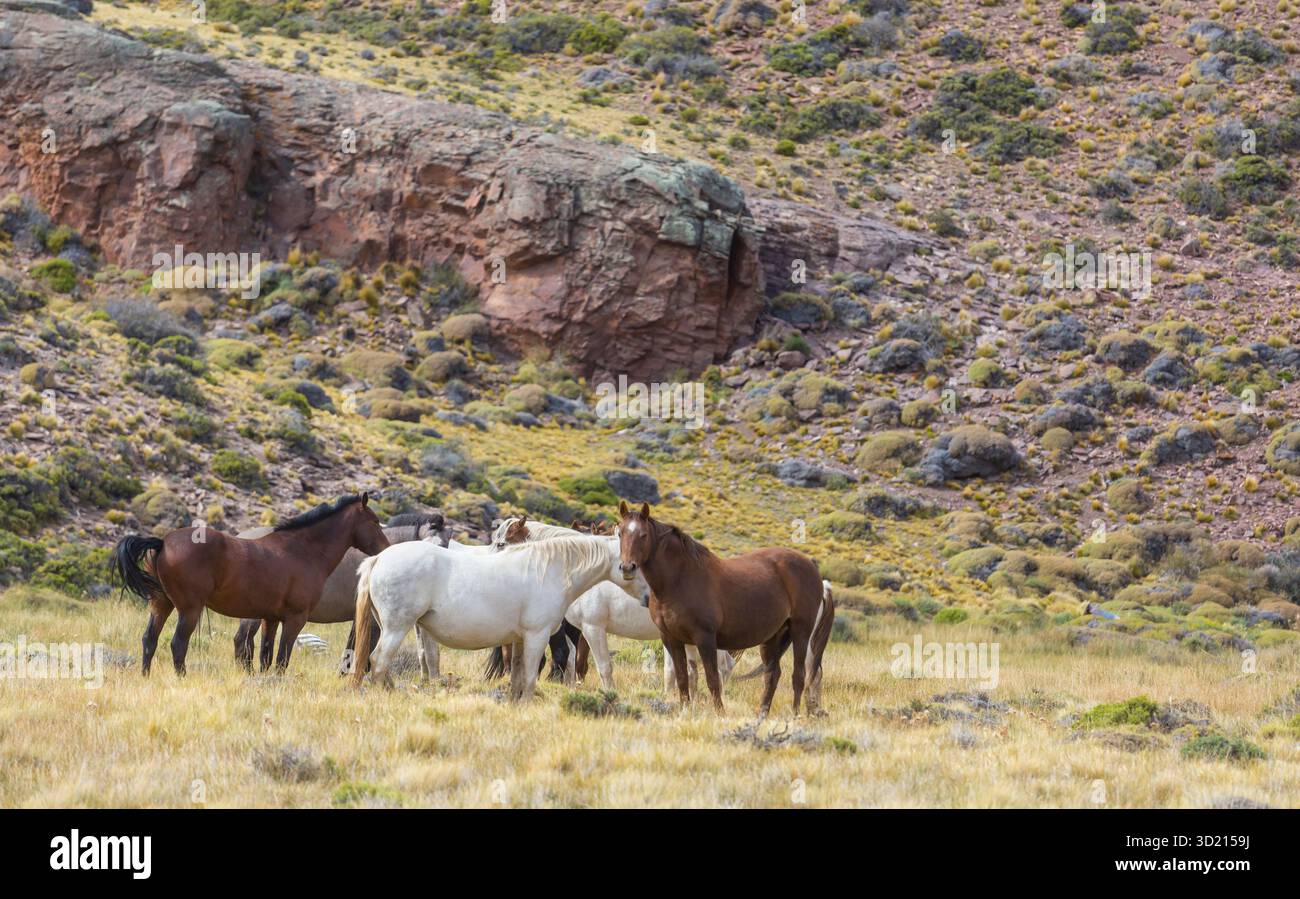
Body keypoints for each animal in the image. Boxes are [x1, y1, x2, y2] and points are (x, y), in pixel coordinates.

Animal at [111, 493, 389, 676]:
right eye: (375, 522)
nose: (386, 549)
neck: (302, 551)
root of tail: (162, 543)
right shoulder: (295, 619)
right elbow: (282, 659)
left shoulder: (270, 618)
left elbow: (266, 656)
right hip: (189, 610)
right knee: (178, 645)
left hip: (161, 605)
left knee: (149, 640)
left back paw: (145, 677)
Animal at [351, 535, 649, 700]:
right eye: (634, 565)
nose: (650, 598)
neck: (550, 570)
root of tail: (379, 559)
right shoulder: (537, 635)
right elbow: (529, 678)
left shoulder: (518, 640)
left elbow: (517, 677)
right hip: (396, 628)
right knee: (378, 661)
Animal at [616, 501, 834, 717]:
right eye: (620, 533)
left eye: (643, 535)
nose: (627, 567)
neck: (679, 580)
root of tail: (814, 571)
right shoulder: (671, 639)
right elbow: (682, 679)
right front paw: (685, 711)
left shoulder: (705, 639)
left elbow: (712, 679)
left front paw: (720, 713)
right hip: (774, 637)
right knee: (772, 675)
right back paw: (762, 715)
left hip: (800, 632)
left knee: (799, 675)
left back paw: (795, 715)